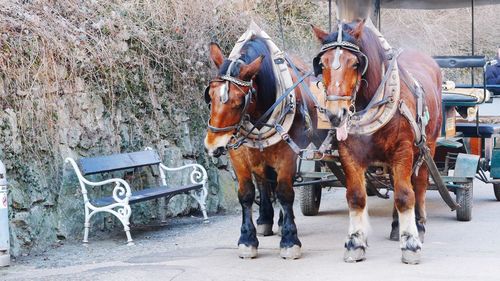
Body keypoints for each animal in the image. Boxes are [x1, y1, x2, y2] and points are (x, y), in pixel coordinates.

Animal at [203, 36, 316, 258]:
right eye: (209, 96)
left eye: (240, 102)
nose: (213, 146)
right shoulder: (238, 153)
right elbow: (246, 194)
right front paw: (247, 239)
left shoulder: (288, 155)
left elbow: (285, 193)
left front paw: (290, 239)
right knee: (263, 182)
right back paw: (265, 219)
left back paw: (280, 223)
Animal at [312, 19, 442, 262]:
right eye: (322, 64)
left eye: (355, 63)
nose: (336, 115)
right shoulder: (349, 154)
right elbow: (356, 197)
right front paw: (355, 242)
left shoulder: (403, 151)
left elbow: (404, 195)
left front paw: (411, 244)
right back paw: (396, 226)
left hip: (427, 147)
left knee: (419, 184)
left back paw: (419, 226)